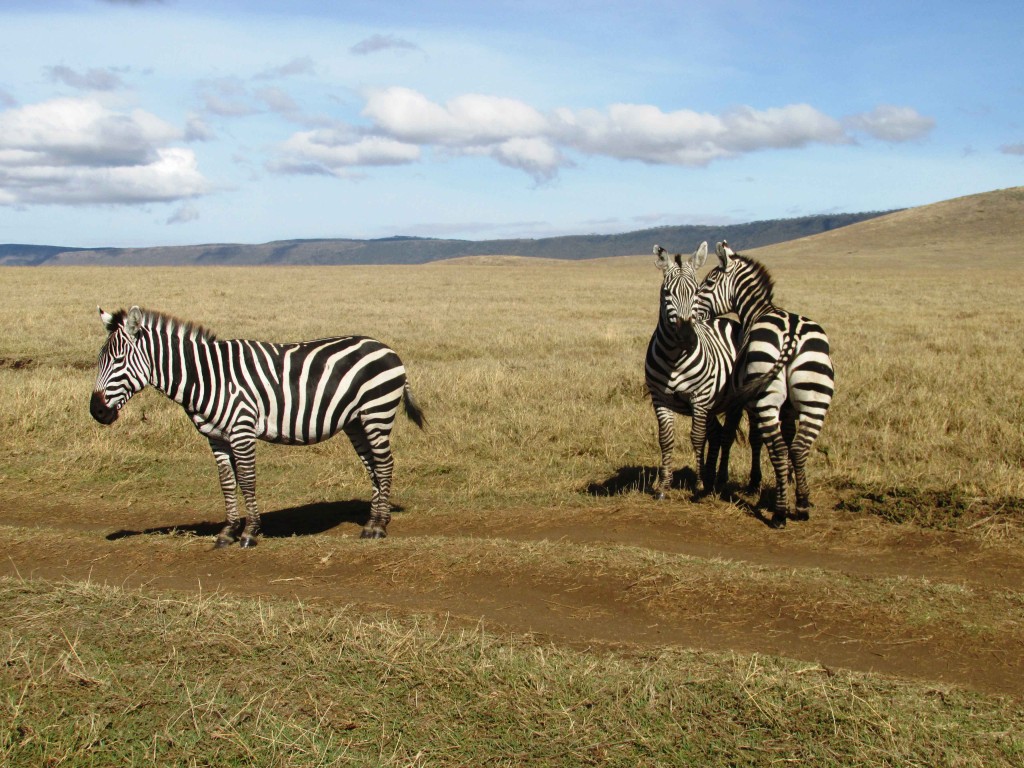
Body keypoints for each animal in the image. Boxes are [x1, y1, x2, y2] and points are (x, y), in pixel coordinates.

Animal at [90, 307, 421, 548]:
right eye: (100, 360)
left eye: (118, 360)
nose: (96, 411)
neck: (207, 376)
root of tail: (387, 349)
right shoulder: (216, 437)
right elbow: (227, 483)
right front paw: (228, 531)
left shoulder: (242, 429)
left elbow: (247, 481)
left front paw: (249, 532)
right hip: (356, 422)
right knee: (374, 467)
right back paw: (373, 522)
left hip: (377, 413)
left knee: (385, 464)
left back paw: (379, 528)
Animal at [647, 241, 745, 499]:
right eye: (667, 293)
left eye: (696, 292)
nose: (687, 338)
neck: (674, 358)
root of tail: (726, 320)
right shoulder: (659, 397)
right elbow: (666, 439)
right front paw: (664, 486)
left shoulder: (699, 397)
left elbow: (697, 438)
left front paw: (700, 483)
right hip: (711, 405)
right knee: (717, 433)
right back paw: (711, 475)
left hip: (733, 403)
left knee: (727, 435)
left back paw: (718, 479)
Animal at [692, 241, 835, 528]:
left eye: (709, 282)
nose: (691, 314)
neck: (758, 312)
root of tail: (791, 333)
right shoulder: (787, 409)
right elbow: (785, 438)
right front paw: (786, 481)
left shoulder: (742, 401)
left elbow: (741, 437)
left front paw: (733, 480)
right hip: (814, 397)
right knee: (799, 447)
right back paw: (801, 504)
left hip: (769, 400)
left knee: (778, 449)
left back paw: (780, 513)